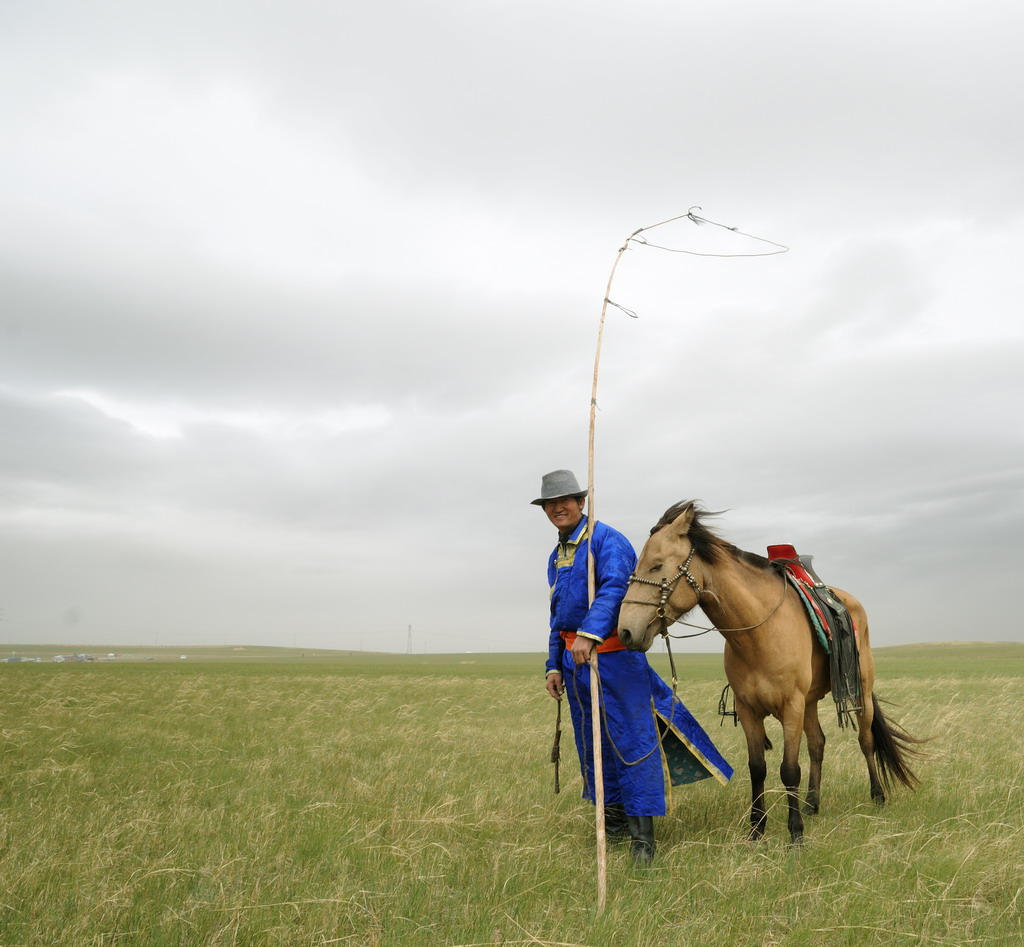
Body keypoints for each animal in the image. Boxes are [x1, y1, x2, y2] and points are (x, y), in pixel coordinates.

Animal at [614, 501, 929, 843]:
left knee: (865, 740)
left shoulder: (790, 706)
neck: (758, 633)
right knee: (818, 744)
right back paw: (812, 804)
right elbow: (758, 767)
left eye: (656, 566)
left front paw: (795, 835)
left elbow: (789, 769)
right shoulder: (749, 709)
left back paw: (877, 796)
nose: (625, 631)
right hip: (811, 701)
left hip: (860, 692)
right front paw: (757, 828)